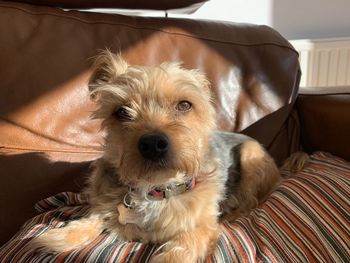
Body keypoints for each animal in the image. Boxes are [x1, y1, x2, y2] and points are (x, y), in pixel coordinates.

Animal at [30, 50, 282, 262]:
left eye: (184, 105)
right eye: (121, 111)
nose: (152, 144)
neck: (155, 189)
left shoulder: (202, 226)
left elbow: (183, 245)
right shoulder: (105, 202)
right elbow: (93, 217)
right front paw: (57, 238)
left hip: (251, 154)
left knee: (250, 200)